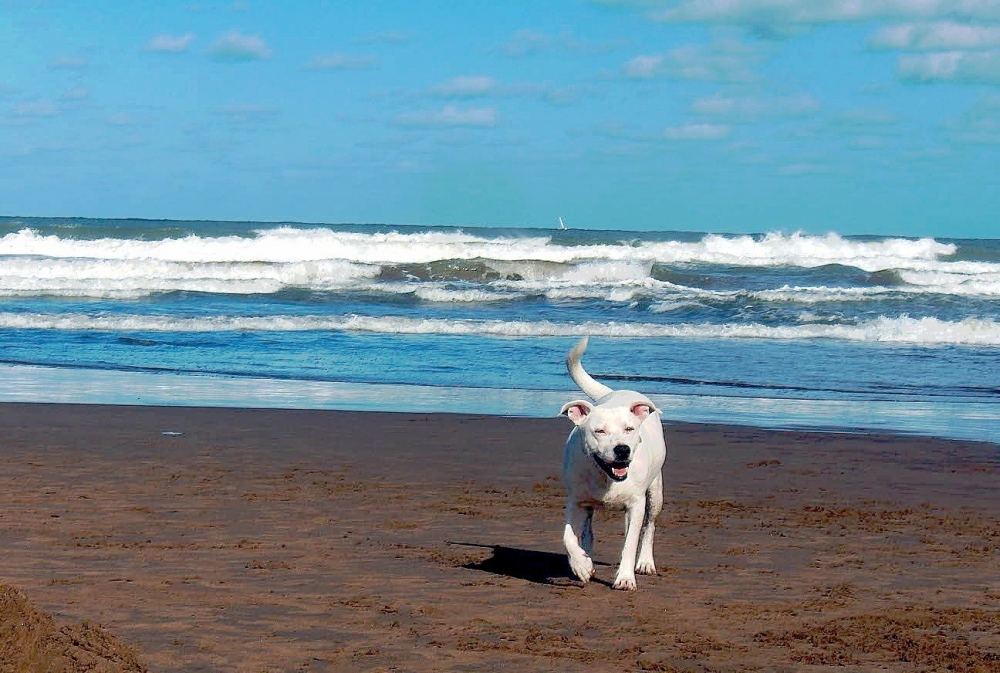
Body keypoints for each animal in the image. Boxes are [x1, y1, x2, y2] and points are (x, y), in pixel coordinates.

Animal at [560, 336, 668, 588]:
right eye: (599, 431)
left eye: (629, 429)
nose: (622, 450)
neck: (605, 477)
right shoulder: (576, 501)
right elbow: (568, 537)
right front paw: (581, 565)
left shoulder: (636, 504)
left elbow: (630, 542)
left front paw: (625, 578)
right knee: (588, 530)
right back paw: (587, 556)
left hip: (655, 492)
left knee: (648, 526)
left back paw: (645, 562)